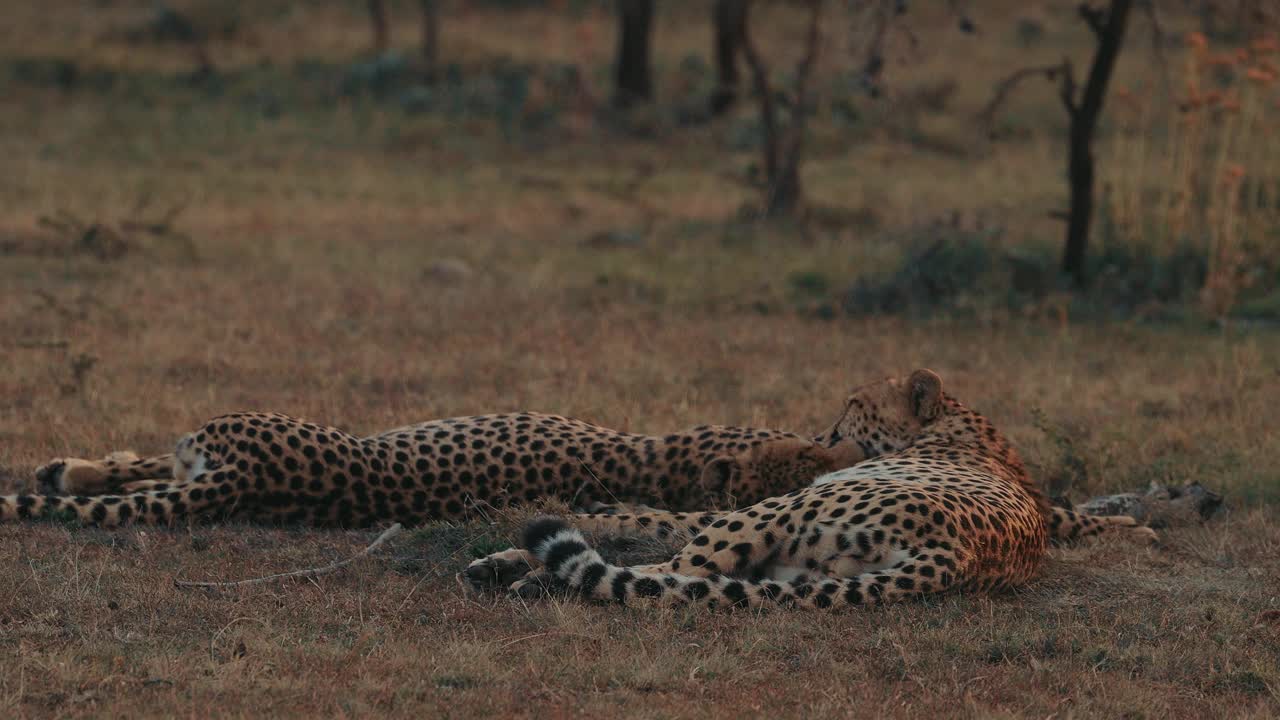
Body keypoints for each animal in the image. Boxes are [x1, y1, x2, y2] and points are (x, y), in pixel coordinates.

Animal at [468, 368, 1162, 604]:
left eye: (853, 404)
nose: (825, 432)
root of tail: (957, 556)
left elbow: (637, 517)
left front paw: (522, 540)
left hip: (776, 514)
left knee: (671, 574)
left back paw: (532, 576)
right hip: (795, 567)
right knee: (684, 577)